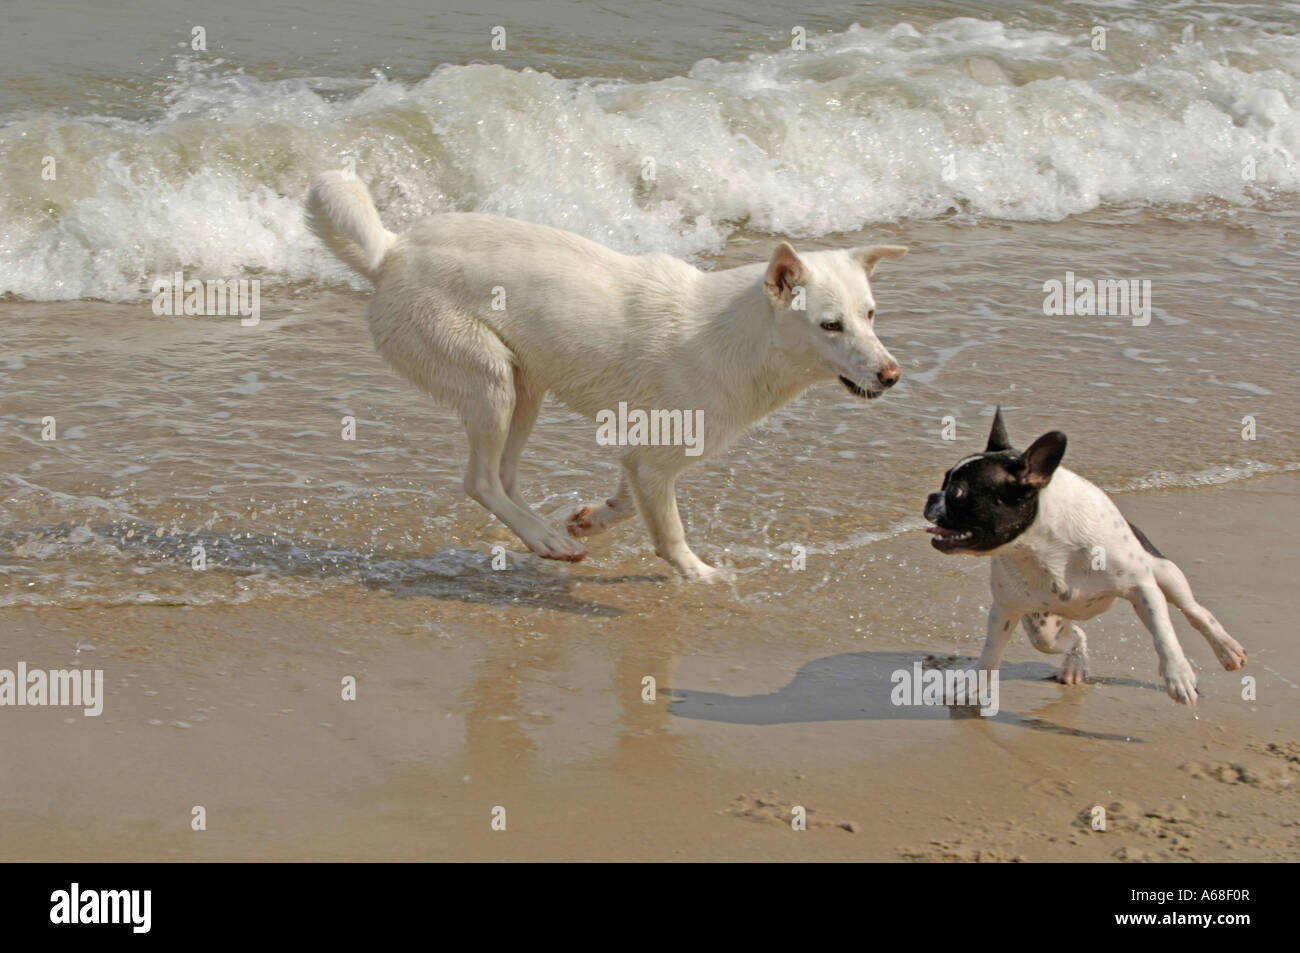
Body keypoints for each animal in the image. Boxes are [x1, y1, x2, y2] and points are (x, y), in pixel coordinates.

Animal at [309, 172, 909, 579]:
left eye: (870, 314)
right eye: (830, 325)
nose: (892, 374)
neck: (742, 338)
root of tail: (391, 254)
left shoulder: (642, 455)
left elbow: (626, 503)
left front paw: (589, 519)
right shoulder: (654, 461)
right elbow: (670, 531)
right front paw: (701, 577)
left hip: (525, 386)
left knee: (503, 476)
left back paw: (547, 534)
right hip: (490, 380)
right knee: (479, 480)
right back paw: (545, 541)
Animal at [925, 405, 1248, 702]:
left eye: (957, 493)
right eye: (944, 482)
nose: (932, 496)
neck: (1041, 544)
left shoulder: (1143, 588)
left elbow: (1164, 634)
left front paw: (1178, 675)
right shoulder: (1006, 609)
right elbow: (991, 652)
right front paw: (974, 685)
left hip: (1165, 572)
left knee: (1194, 611)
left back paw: (1226, 649)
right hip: (1042, 625)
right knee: (1072, 637)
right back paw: (1075, 666)